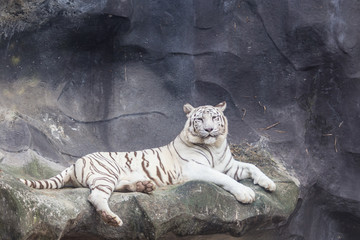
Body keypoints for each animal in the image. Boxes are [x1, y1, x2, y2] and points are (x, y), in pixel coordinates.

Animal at [20, 102, 276, 226]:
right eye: (199, 119)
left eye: (214, 117)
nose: (210, 129)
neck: (214, 146)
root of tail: (76, 162)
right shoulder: (196, 168)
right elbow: (223, 179)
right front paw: (246, 194)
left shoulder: (230, 165)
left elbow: (253, 167)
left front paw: (270, 184)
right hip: (106, 173)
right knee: (96, 197)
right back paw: (112, 218)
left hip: (115, 176)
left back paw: (145, 186)